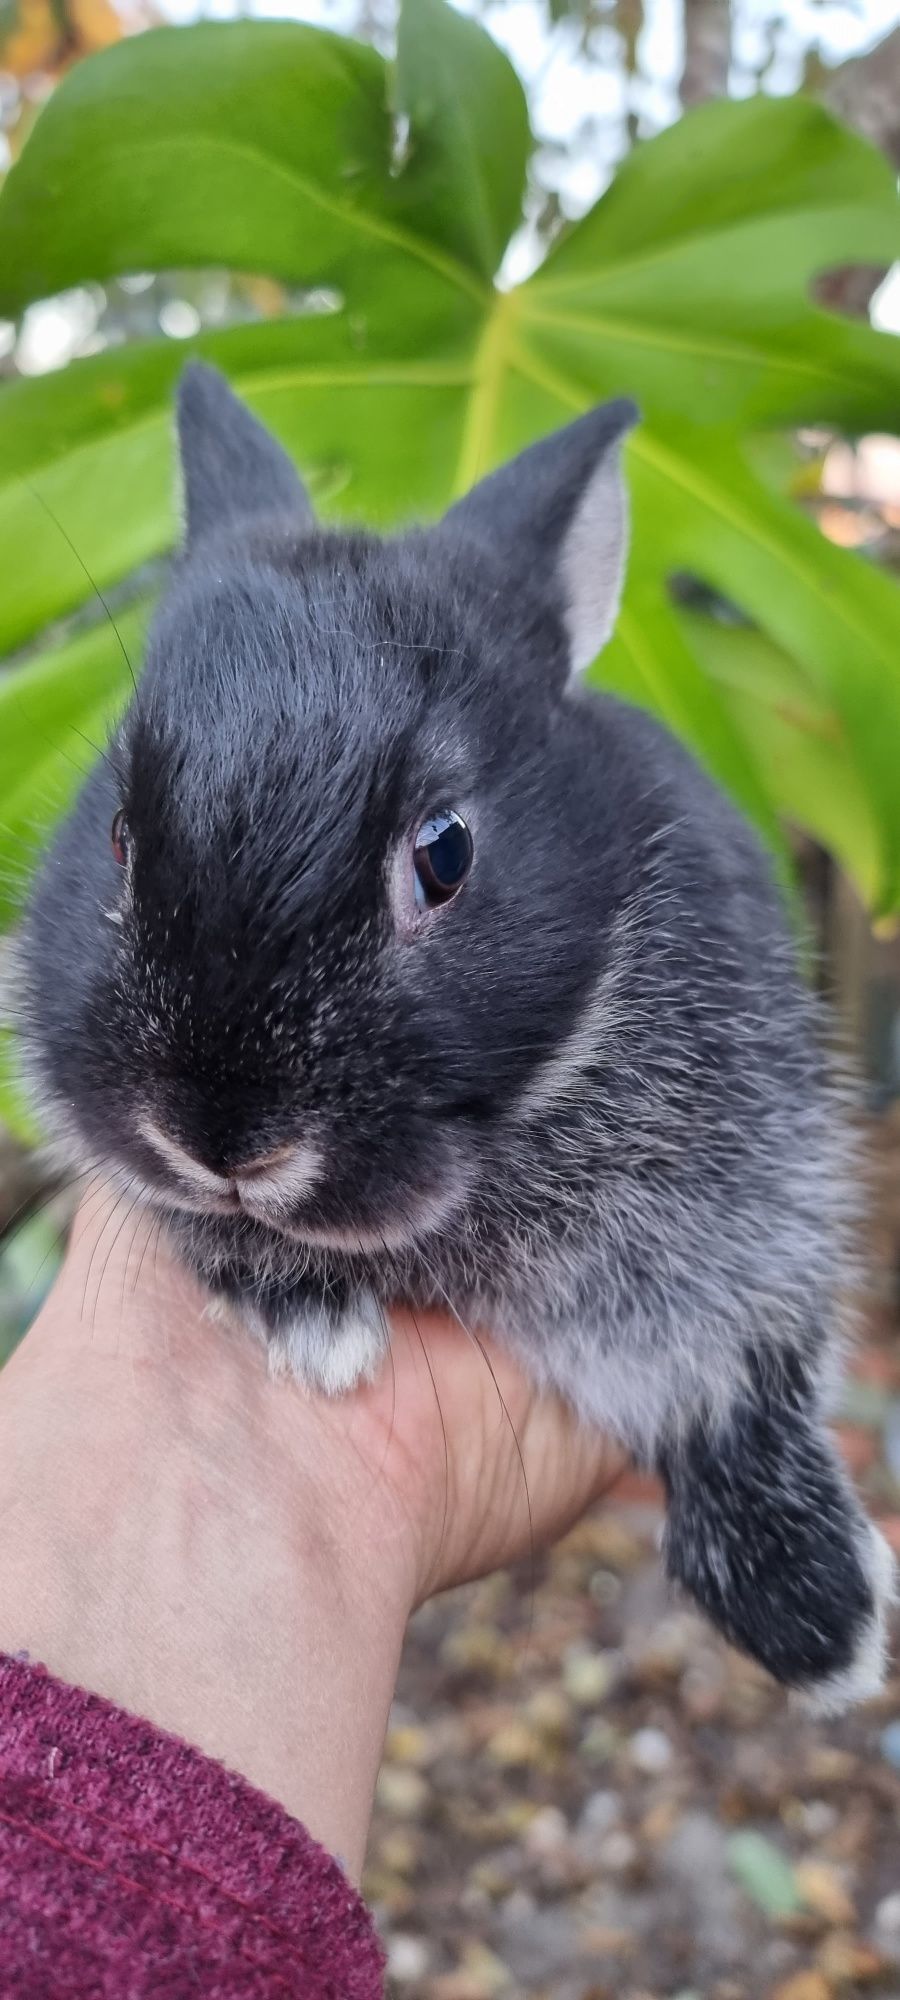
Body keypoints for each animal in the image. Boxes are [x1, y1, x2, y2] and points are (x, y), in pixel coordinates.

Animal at [17, 360, 896, 1704]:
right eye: (116, 834)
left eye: (445, 852)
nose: (220, 1137)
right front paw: (316, 1324)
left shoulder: (763, 1194)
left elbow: (741, 1374)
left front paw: (821, 1619)